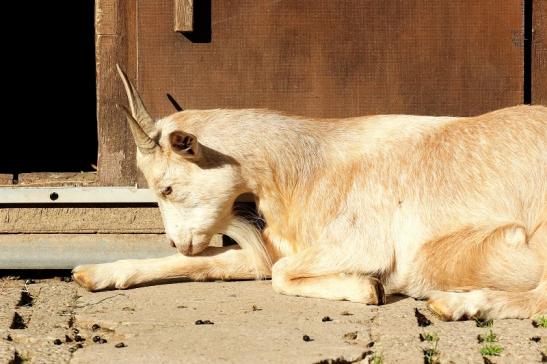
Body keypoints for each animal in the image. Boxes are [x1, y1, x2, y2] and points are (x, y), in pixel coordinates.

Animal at [74, 64, 547, 320]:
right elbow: (208, 264)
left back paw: (453, 304)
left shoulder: (363, 243)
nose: (178, 240)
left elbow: (282, 276)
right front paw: (95, 273)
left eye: (167, 187)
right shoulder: (278, 248)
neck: (308, 167)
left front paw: (368, 288)